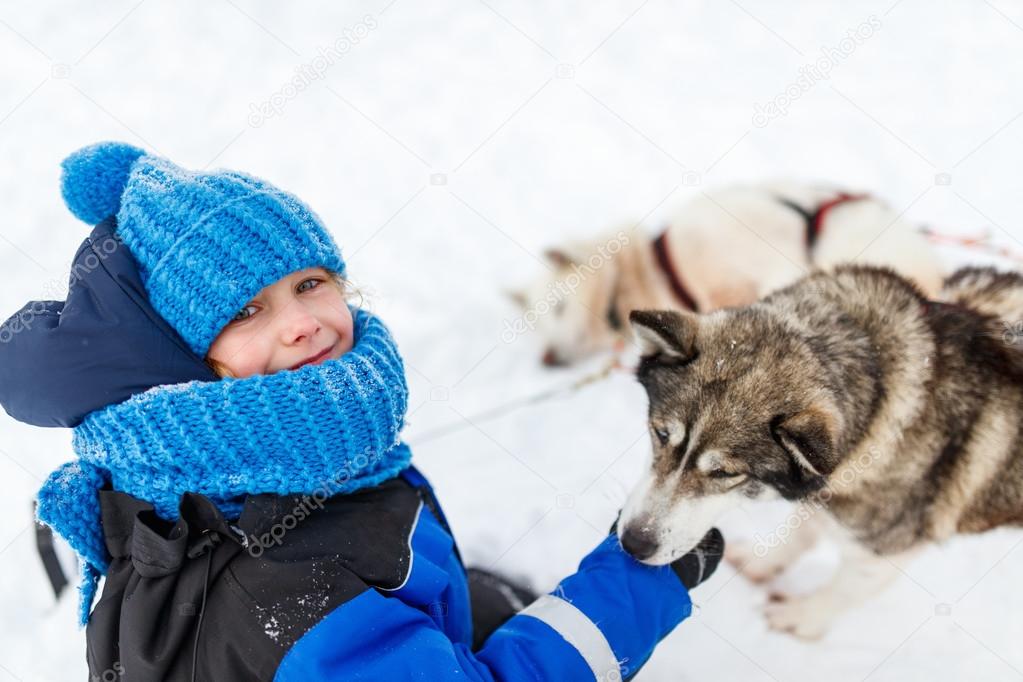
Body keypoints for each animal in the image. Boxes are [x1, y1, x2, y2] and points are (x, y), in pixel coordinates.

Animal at [613, 263, 1023, 638]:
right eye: (661, 434)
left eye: (725, 473)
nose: (634, 542)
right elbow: (803, 530)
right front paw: (767, 564)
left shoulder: (882, 552)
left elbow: (842, 592)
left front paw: (800, 619)